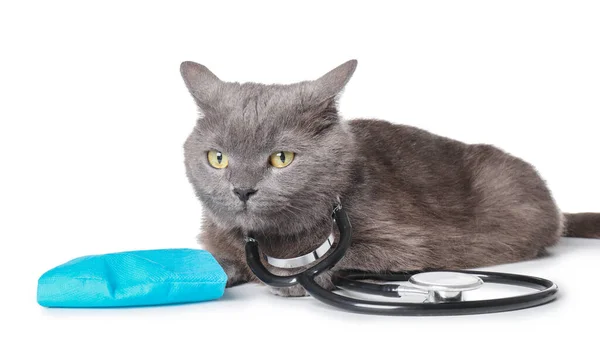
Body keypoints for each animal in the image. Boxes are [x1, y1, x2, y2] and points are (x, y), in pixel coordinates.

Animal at [179, 60, 600, 296]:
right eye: (218, 158)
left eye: (281, 158)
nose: (242, 189)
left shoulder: (408, 241)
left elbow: (353, 253)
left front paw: (291, 277)